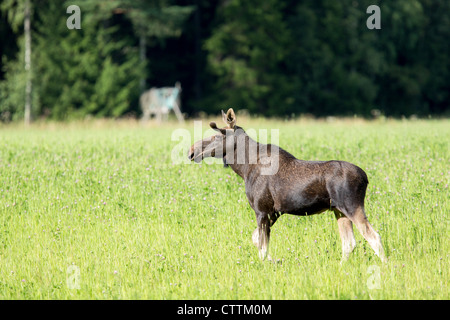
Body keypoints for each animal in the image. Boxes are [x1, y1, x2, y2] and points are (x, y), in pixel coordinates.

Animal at [186, 109, 386, 264]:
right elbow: (256, 239)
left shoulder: (263, 210)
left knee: (373, 236)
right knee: (349, 243)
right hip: (338, 210)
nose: (191, 151)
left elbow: (262, 245)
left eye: (215, 135)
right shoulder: (274, 212)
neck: (243, 168)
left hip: (351, 206)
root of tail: (365, 177)